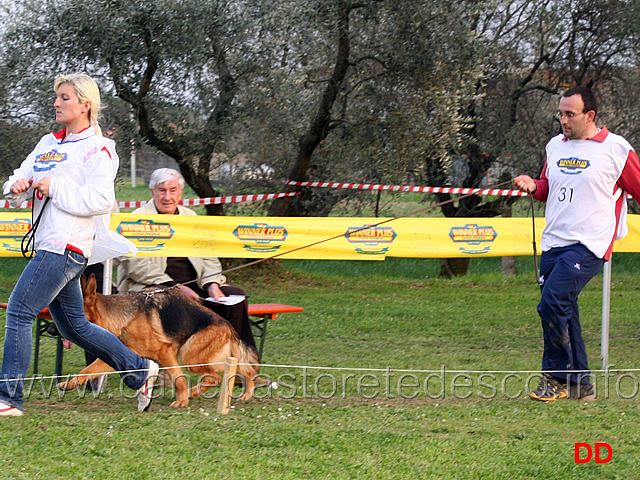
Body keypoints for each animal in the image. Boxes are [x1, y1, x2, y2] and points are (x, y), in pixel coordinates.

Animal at [58, 276, 260, 406]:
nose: (54, 328)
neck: (124, 319)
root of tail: (227, 325)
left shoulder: (165, 353)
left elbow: (178, 378)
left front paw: (181, 401)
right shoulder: (118, 356)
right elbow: (87, 371)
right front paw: (70, 384)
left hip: (191, 358)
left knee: (217, 377)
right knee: (239, 370)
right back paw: (246, 393)